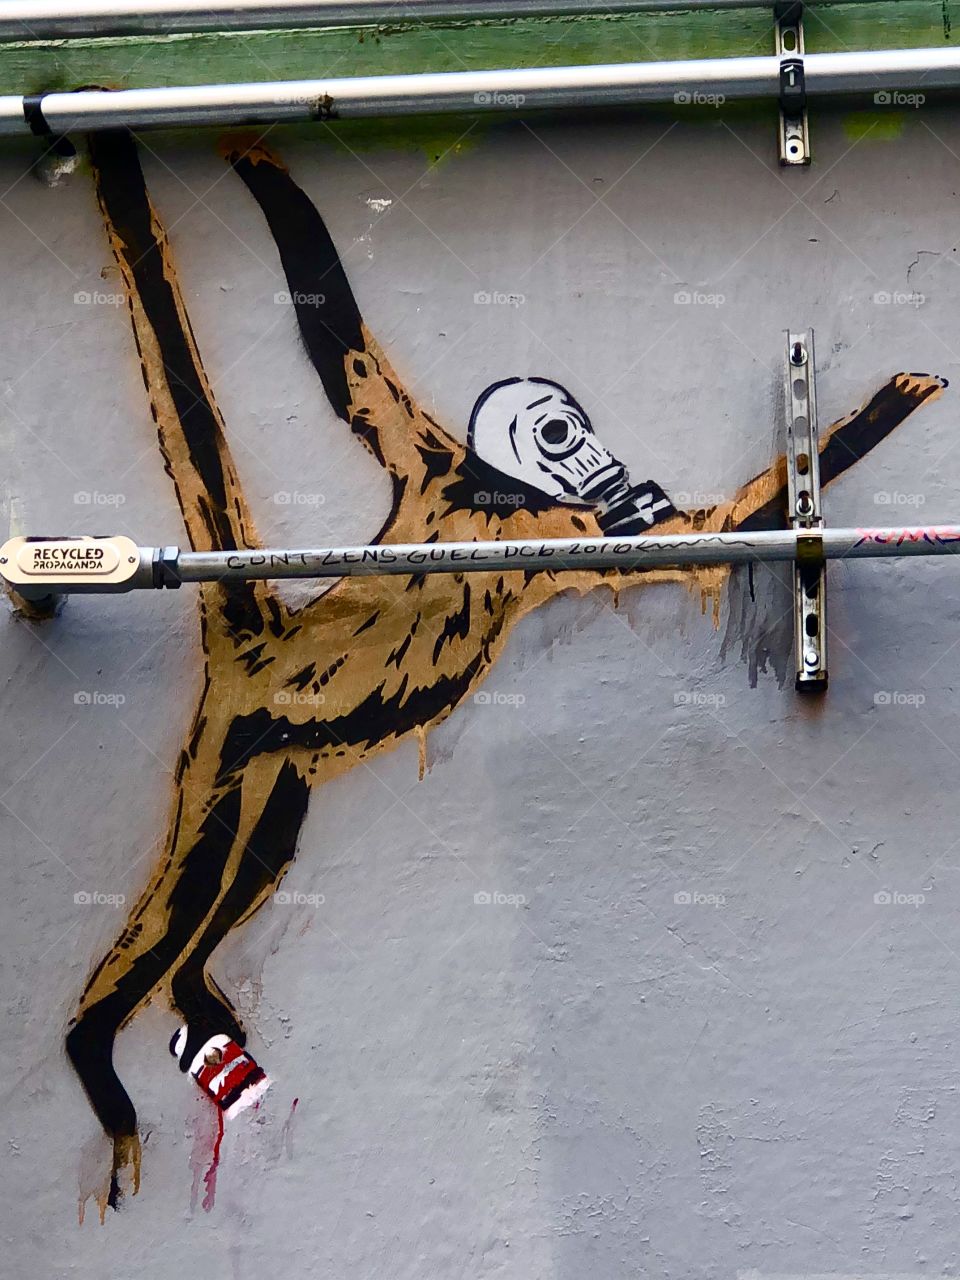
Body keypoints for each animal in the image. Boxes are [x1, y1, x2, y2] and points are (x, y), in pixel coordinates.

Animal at [59, 127, 945, 1206]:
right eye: (560, 429)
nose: (602, 458)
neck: (491, 490)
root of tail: (259, 645)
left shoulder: (540, 520)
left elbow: (691, 538)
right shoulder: (481, 483)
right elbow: (346, 353)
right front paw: (253, 152)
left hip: (278, 763)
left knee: (255, 855)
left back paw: (187, 994)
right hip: (230, 738)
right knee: (191, 876)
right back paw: (92, 1041)